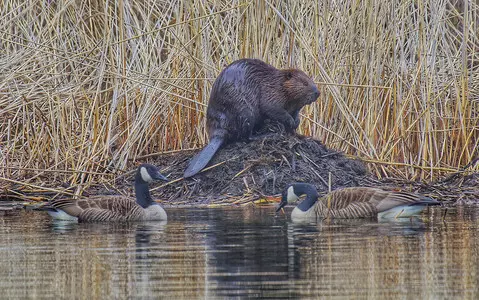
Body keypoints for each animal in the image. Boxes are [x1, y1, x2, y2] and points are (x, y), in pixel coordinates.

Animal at [185, 58, 322, 178]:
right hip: (245, 111)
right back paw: (269, 134)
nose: (317, 92)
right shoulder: (271, 94)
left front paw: (296, 124)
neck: (278, 84)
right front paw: (290, 122)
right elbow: (272, 108)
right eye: (305, 83)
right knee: (247, 137)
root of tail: (218, 134)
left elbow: (295, 114)